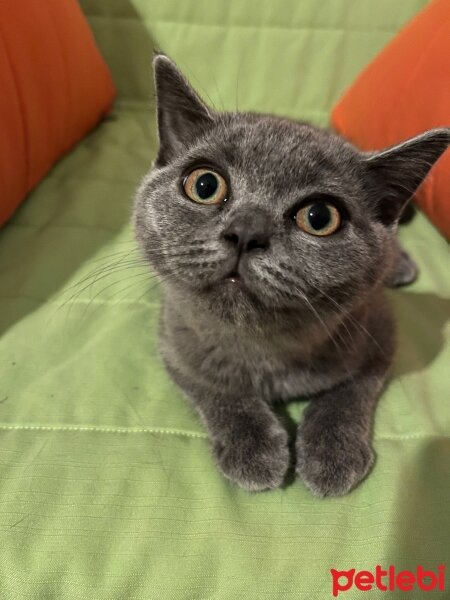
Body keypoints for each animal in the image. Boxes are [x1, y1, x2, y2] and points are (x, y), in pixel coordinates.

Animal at [134, 55, 450, 496]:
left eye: (319, 217)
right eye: (205, 184)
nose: (246, 230)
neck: (266, 352)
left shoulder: (380, 332)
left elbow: (351, 390)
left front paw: (331, 455)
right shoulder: (174, 339)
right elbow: (214, 386)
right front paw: (254, 449)